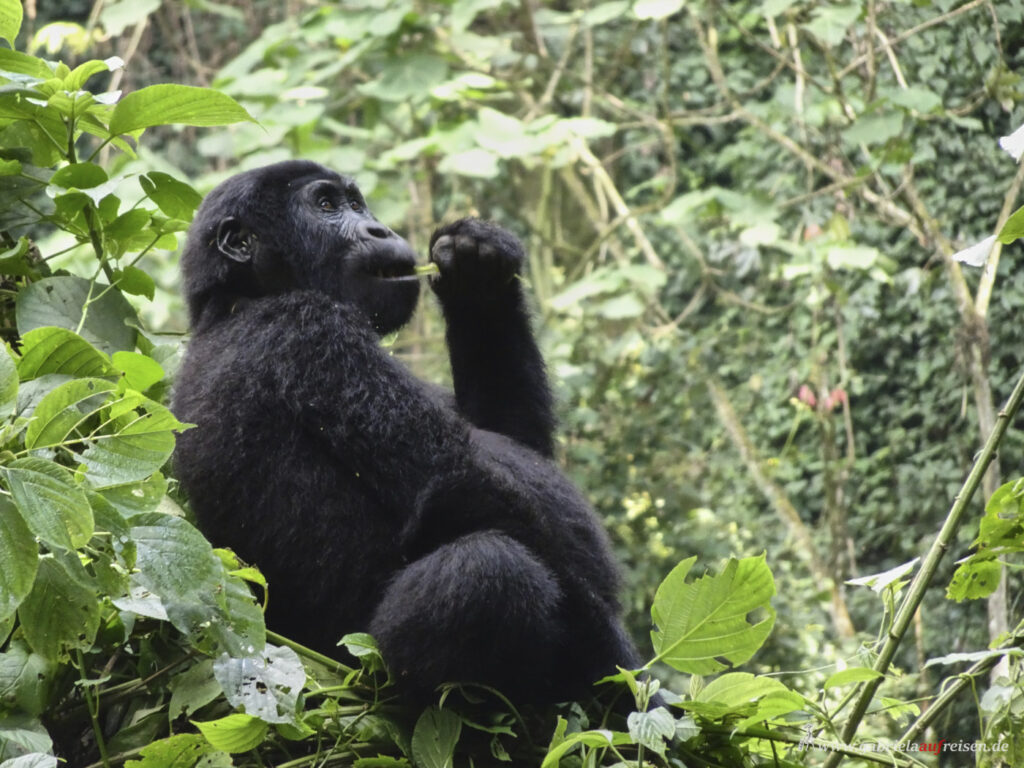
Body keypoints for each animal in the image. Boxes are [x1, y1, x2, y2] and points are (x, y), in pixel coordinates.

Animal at [175, 157, 638, 704]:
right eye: (326, 205)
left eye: (359, 204)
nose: (380, 229)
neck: (233, 301)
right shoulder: (307, 330)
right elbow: (456, 489)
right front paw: (619, 672)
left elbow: (519, 443)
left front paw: (477, 276)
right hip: (361, 670)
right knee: (490, 569)